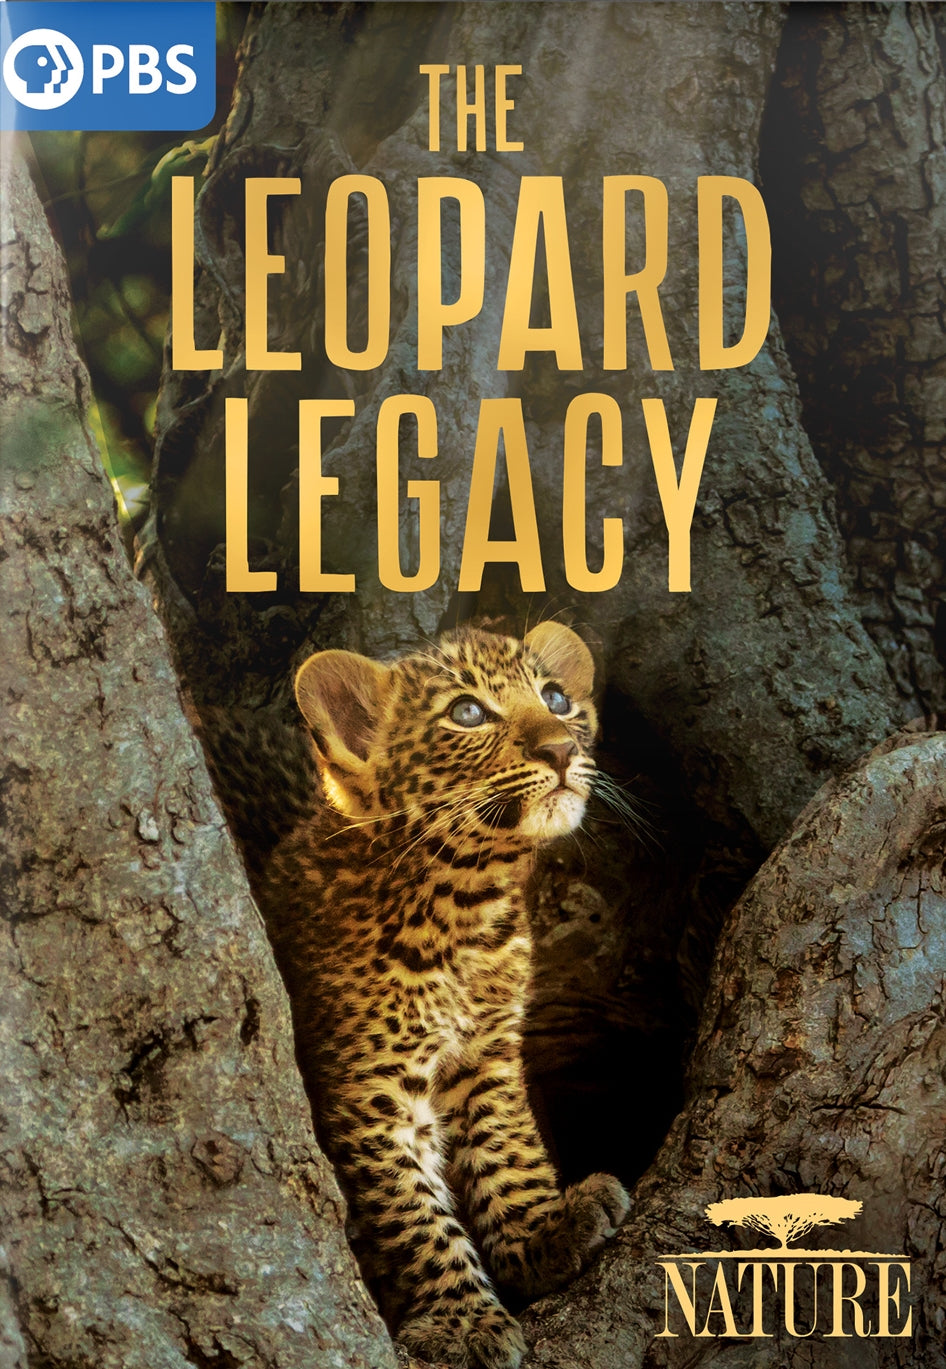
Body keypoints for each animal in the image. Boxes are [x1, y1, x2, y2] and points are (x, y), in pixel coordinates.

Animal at [259, 621, 630, 1369]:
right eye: (467, 713)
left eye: (556, 697)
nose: (560, 747)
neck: (465, 908)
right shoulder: (367, 1089)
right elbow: (409, 1210)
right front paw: (461, 1321)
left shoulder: (486, 1054)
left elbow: (508, 1148)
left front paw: (545, 1231)